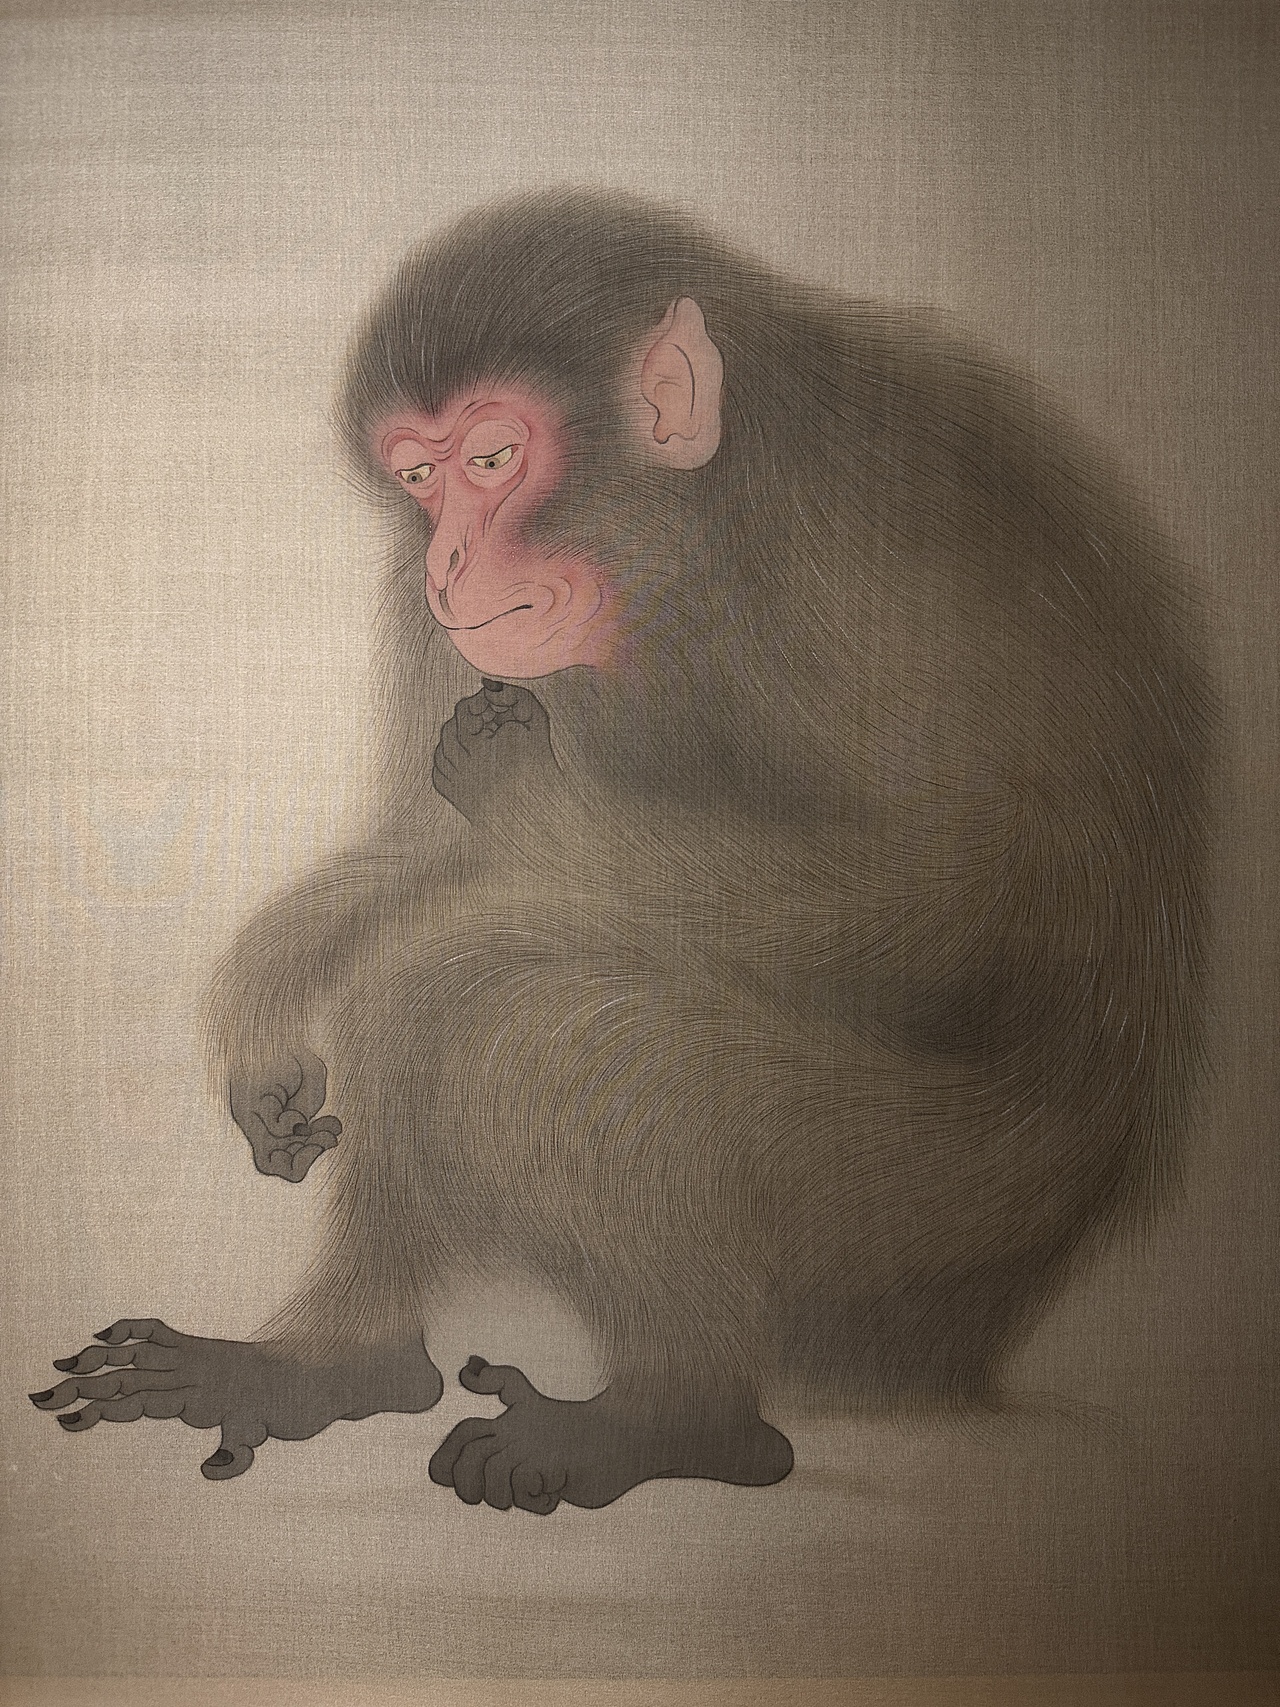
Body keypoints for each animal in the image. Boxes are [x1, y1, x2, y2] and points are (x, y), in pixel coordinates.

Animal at [31, 190, 1211, 1515]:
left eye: (495, 461)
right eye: (418, 478)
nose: (446, 559)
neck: (704, 522)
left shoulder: (880, 553)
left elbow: (949, 896)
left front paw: (530, 819)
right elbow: (421, 845)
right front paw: (270, 999)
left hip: (944, 1212)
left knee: (536, 1025)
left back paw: (679, 1419)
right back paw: (339, 1363)